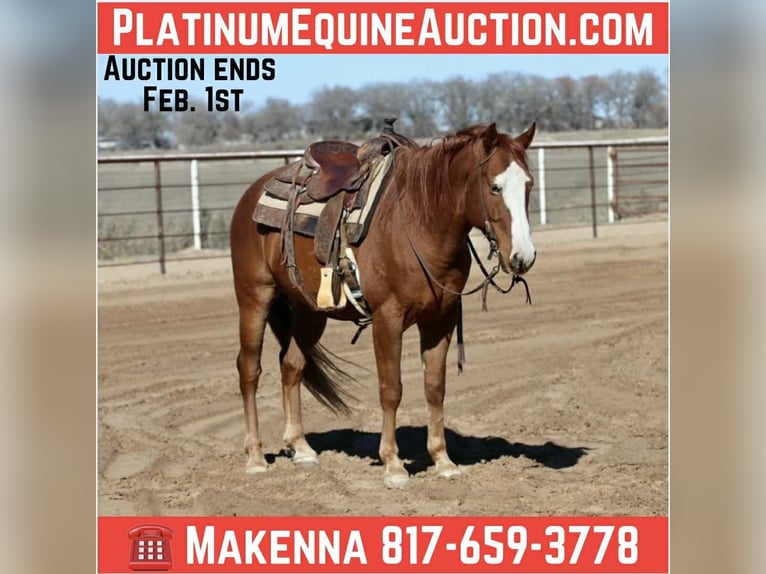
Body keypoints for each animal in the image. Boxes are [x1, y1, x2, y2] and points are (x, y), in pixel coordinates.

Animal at [229, 122, 537, 487]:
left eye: (529, 185)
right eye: (494, 186)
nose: (522, 256)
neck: (422, 225)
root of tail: (253, 192)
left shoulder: (441, 319)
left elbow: (435, 387)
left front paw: (443, 461)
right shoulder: (388, 318)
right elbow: (392, 389)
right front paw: (393, 465)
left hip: (310, 310)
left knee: (291, 365)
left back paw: (301, 448)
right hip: (254, 296)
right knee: (249, 369)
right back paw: (255, 456)